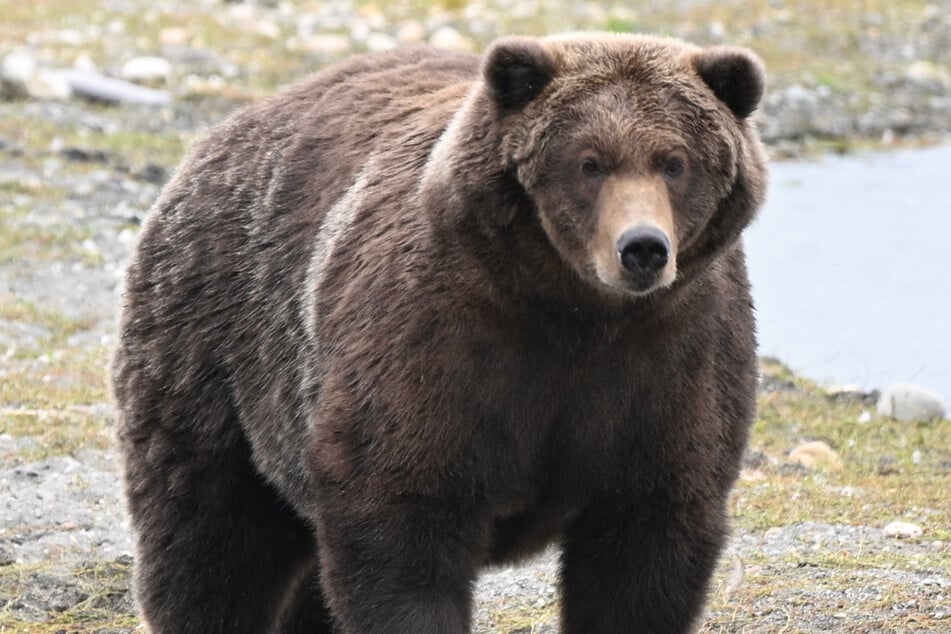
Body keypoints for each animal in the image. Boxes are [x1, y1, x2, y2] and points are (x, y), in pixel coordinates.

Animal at [112, 32, 767, 634]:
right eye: (589, 162)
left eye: (674, 161)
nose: (643, 248)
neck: (574, 313)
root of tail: (219, 136)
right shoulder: (435, 344)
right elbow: (402, 519)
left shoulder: (671, 363)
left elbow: (646, 546)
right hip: (218, 348)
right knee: (209, 533)